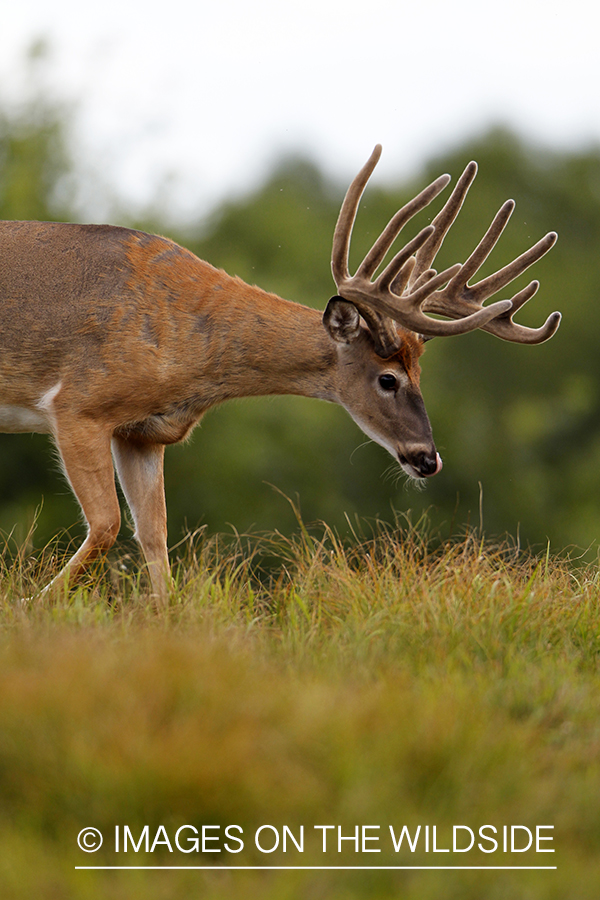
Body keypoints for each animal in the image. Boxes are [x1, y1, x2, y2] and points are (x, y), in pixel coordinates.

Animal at [0, 146, 560, 596]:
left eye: (418, 377)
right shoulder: (78, 404)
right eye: (388, 379)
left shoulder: (143, 433)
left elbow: (154, 537)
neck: (190, 348)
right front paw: (32, 607)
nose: (428, 459)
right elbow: (106, 526)